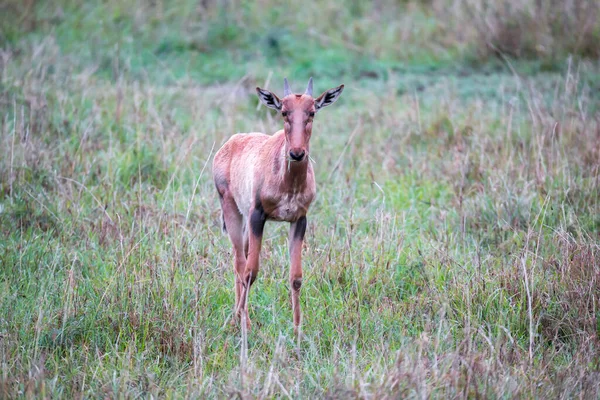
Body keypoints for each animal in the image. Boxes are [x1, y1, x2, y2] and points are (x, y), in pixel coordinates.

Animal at [213, 78, 344, 334]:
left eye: (312, 112)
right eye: (283, 111)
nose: (297, 153)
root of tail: (230, 143)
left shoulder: (299, 220)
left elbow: (296, 277)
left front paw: (297, 329)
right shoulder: (258, 216)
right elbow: (251, 272)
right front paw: (240, 322)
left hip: (245, 222)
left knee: (241, 259)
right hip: (232, 210)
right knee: (239, 262)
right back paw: (240, 319)